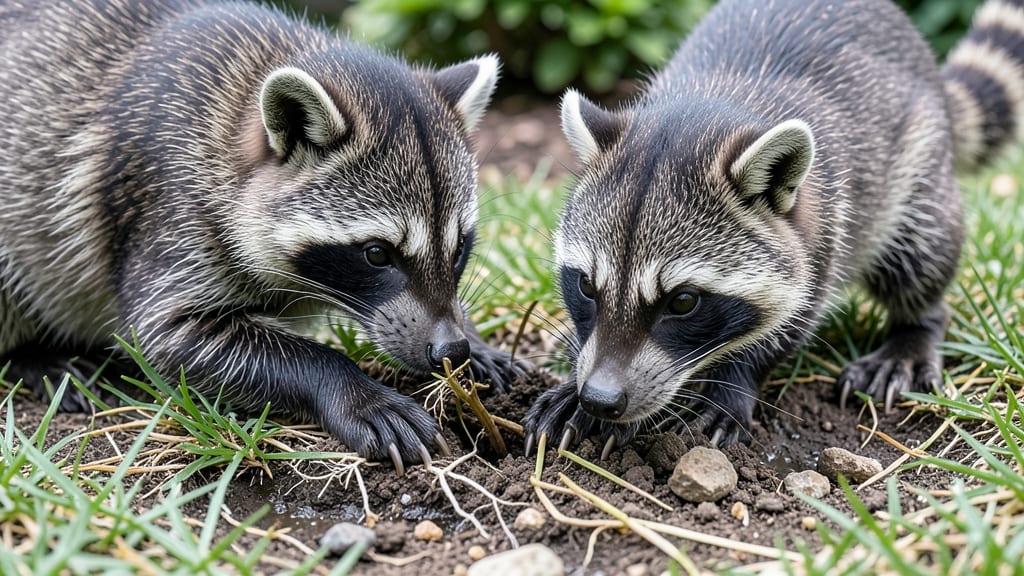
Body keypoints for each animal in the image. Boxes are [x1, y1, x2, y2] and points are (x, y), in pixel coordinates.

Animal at [0, 0, 523, 472]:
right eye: (377, 254)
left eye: (458, 249)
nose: (450, 349)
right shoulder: (170, 203)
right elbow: (165, 334)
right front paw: (351, 387)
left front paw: (473, 339)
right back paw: (35, 354)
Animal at [525, 0, 1024, 456]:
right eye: (586, 286)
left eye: (683, 301)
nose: (599, 398)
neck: (710, 105)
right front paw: (573, 384)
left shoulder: (823, 233)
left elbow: (793, 318)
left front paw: (734, 379)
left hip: (920, 164)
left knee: (921, 253)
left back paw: (916, 327)